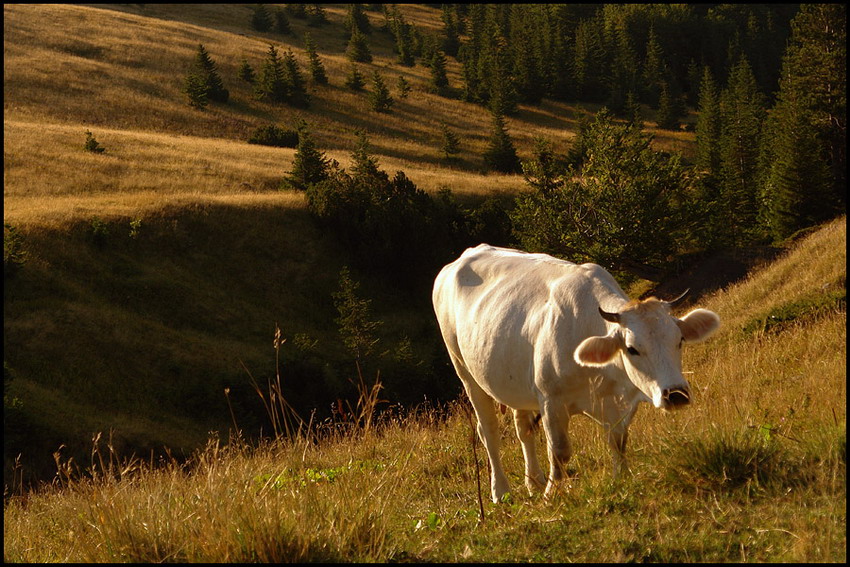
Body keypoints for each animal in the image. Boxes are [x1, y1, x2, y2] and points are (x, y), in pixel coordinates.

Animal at [430, 244, 716, 502]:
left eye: (679, 340)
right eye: (632, 349)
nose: (676, 394)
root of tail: (462, 257)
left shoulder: (616, 403)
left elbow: (618, 441)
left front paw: (622, 479)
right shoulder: (551, 399)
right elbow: (559, 451)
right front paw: (551, 494)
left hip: (511, 378)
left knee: (523, 428)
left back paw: (533, 482)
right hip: (465, 370)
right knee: (488, 431)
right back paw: (501, 491)